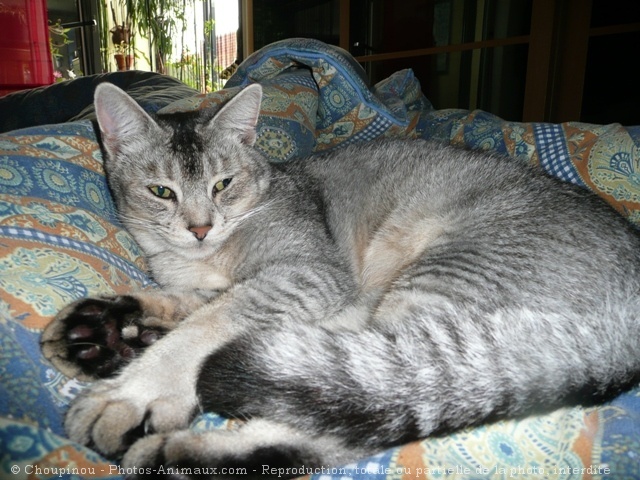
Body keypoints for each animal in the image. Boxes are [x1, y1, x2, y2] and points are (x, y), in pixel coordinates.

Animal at [41, 82, 640, 476]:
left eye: (223, 184)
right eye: (161, 192)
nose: (200, 227)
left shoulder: (308, 271)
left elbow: (213, 321)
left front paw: (139, 385)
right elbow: (191, 301)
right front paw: (110, 326)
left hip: (446, 285)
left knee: (377, 405)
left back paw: (181, 452)